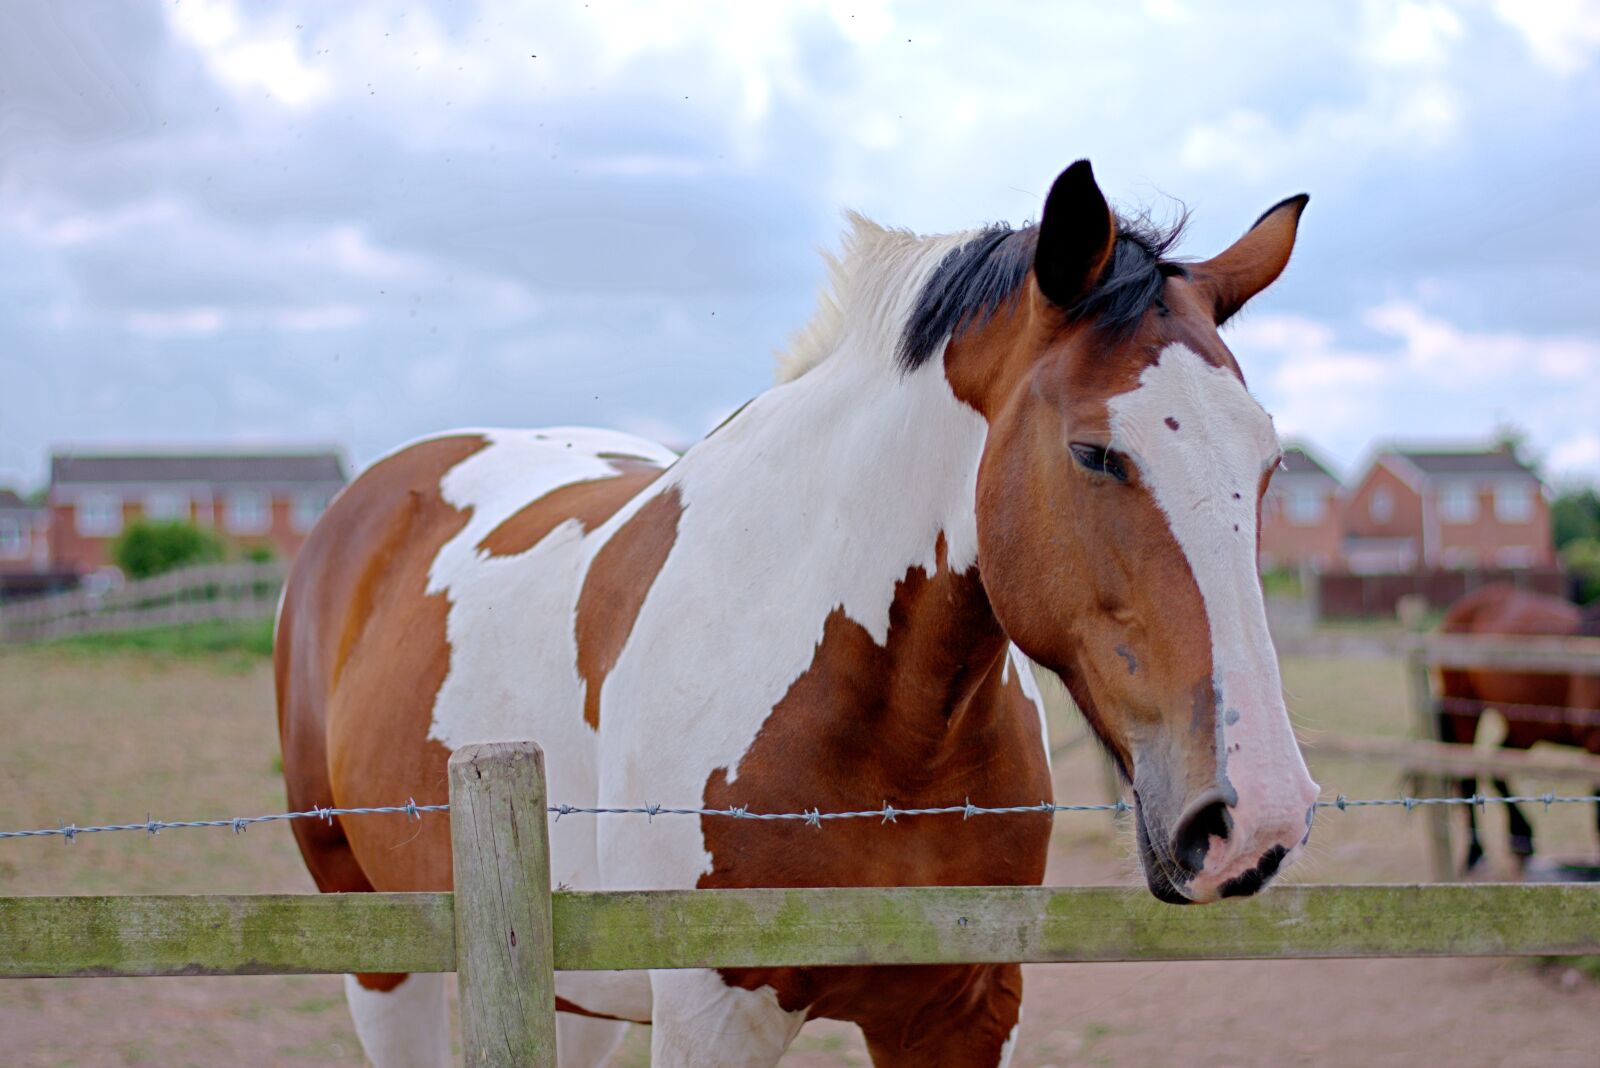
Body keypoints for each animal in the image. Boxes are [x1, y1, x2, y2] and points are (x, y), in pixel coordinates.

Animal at [274, 160, 1320, 1068]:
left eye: (1269, 464)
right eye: (1095, 453)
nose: (1255, 815)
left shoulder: (964, 1010)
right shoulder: (711, 1016)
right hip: (379, 953)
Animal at [1436, 583, 1600, 872]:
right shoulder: (1593, 741)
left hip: (1524, 727)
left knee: (1498, 768)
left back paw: (1521, 839)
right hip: (1465, 711)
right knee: (1468, 776)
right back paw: (1476, 854)